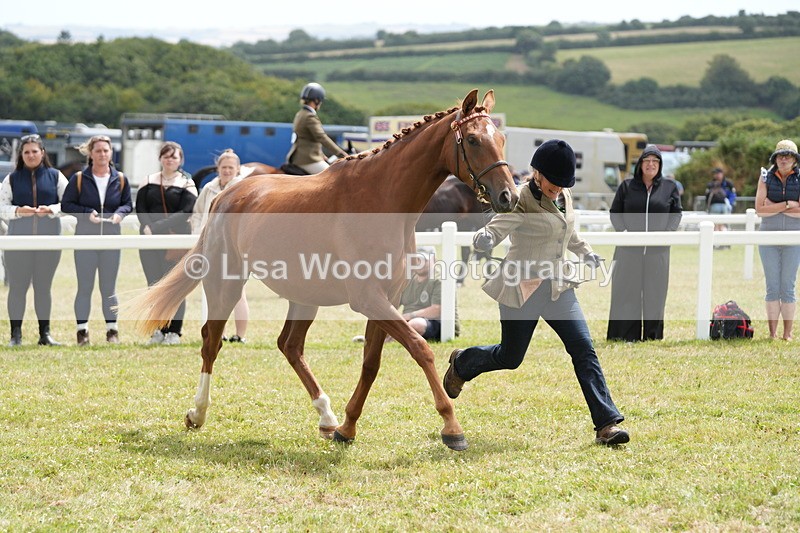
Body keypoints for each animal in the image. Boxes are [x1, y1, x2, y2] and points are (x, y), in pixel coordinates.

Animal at [126, 89, 518, 451]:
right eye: (472, 139)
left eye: (501, 139)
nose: (509, 197)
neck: (382, 199)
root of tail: (227, 193)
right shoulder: (369, 299)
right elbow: (420, 348)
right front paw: (452, 427)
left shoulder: (385, 300)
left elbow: (371, 363)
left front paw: (347, 427)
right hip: (226, 283)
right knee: (212, 340)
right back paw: (198, 412)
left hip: (303, 296)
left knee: (290, 346)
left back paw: (327, 417)